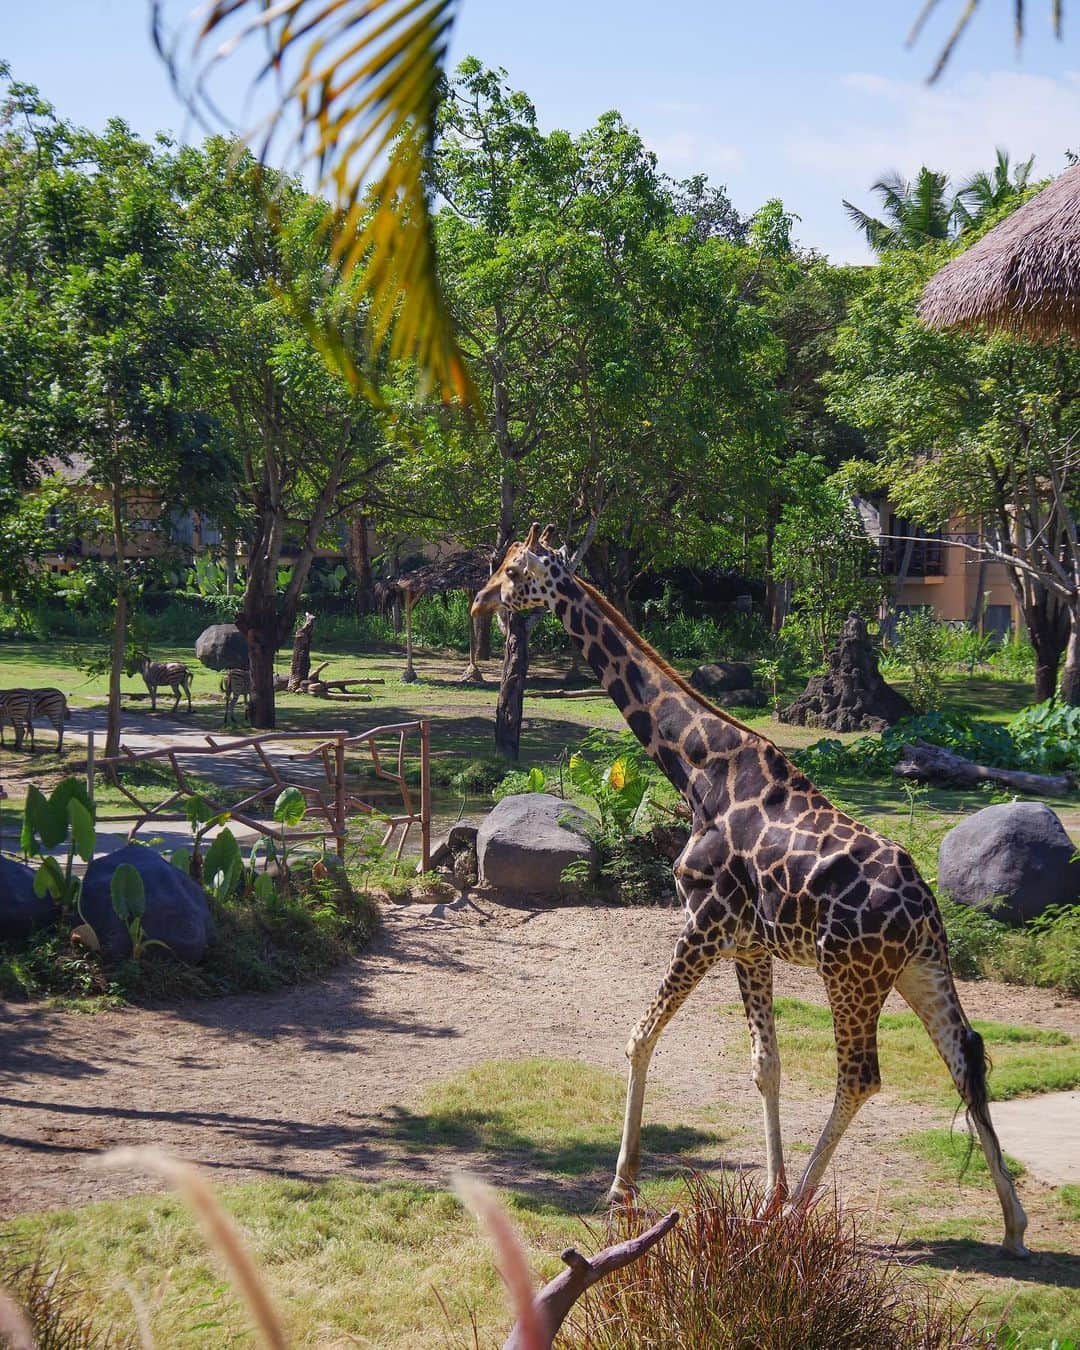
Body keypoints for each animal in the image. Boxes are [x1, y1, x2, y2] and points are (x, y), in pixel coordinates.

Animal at [469, 523, 1031, 1252]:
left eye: (513, 571)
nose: (481, 602)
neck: (694, 767)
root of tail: (925, 908)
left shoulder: (705, 921)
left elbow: (639, 1036)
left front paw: (623, 1189)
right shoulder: (749, 943)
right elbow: (766, 1063)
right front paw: (768, 1196)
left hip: (848, 972)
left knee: (861, 1075)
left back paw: (798, 1221)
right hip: (918, 969)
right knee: (965, 1056)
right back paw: (1013, 1224)